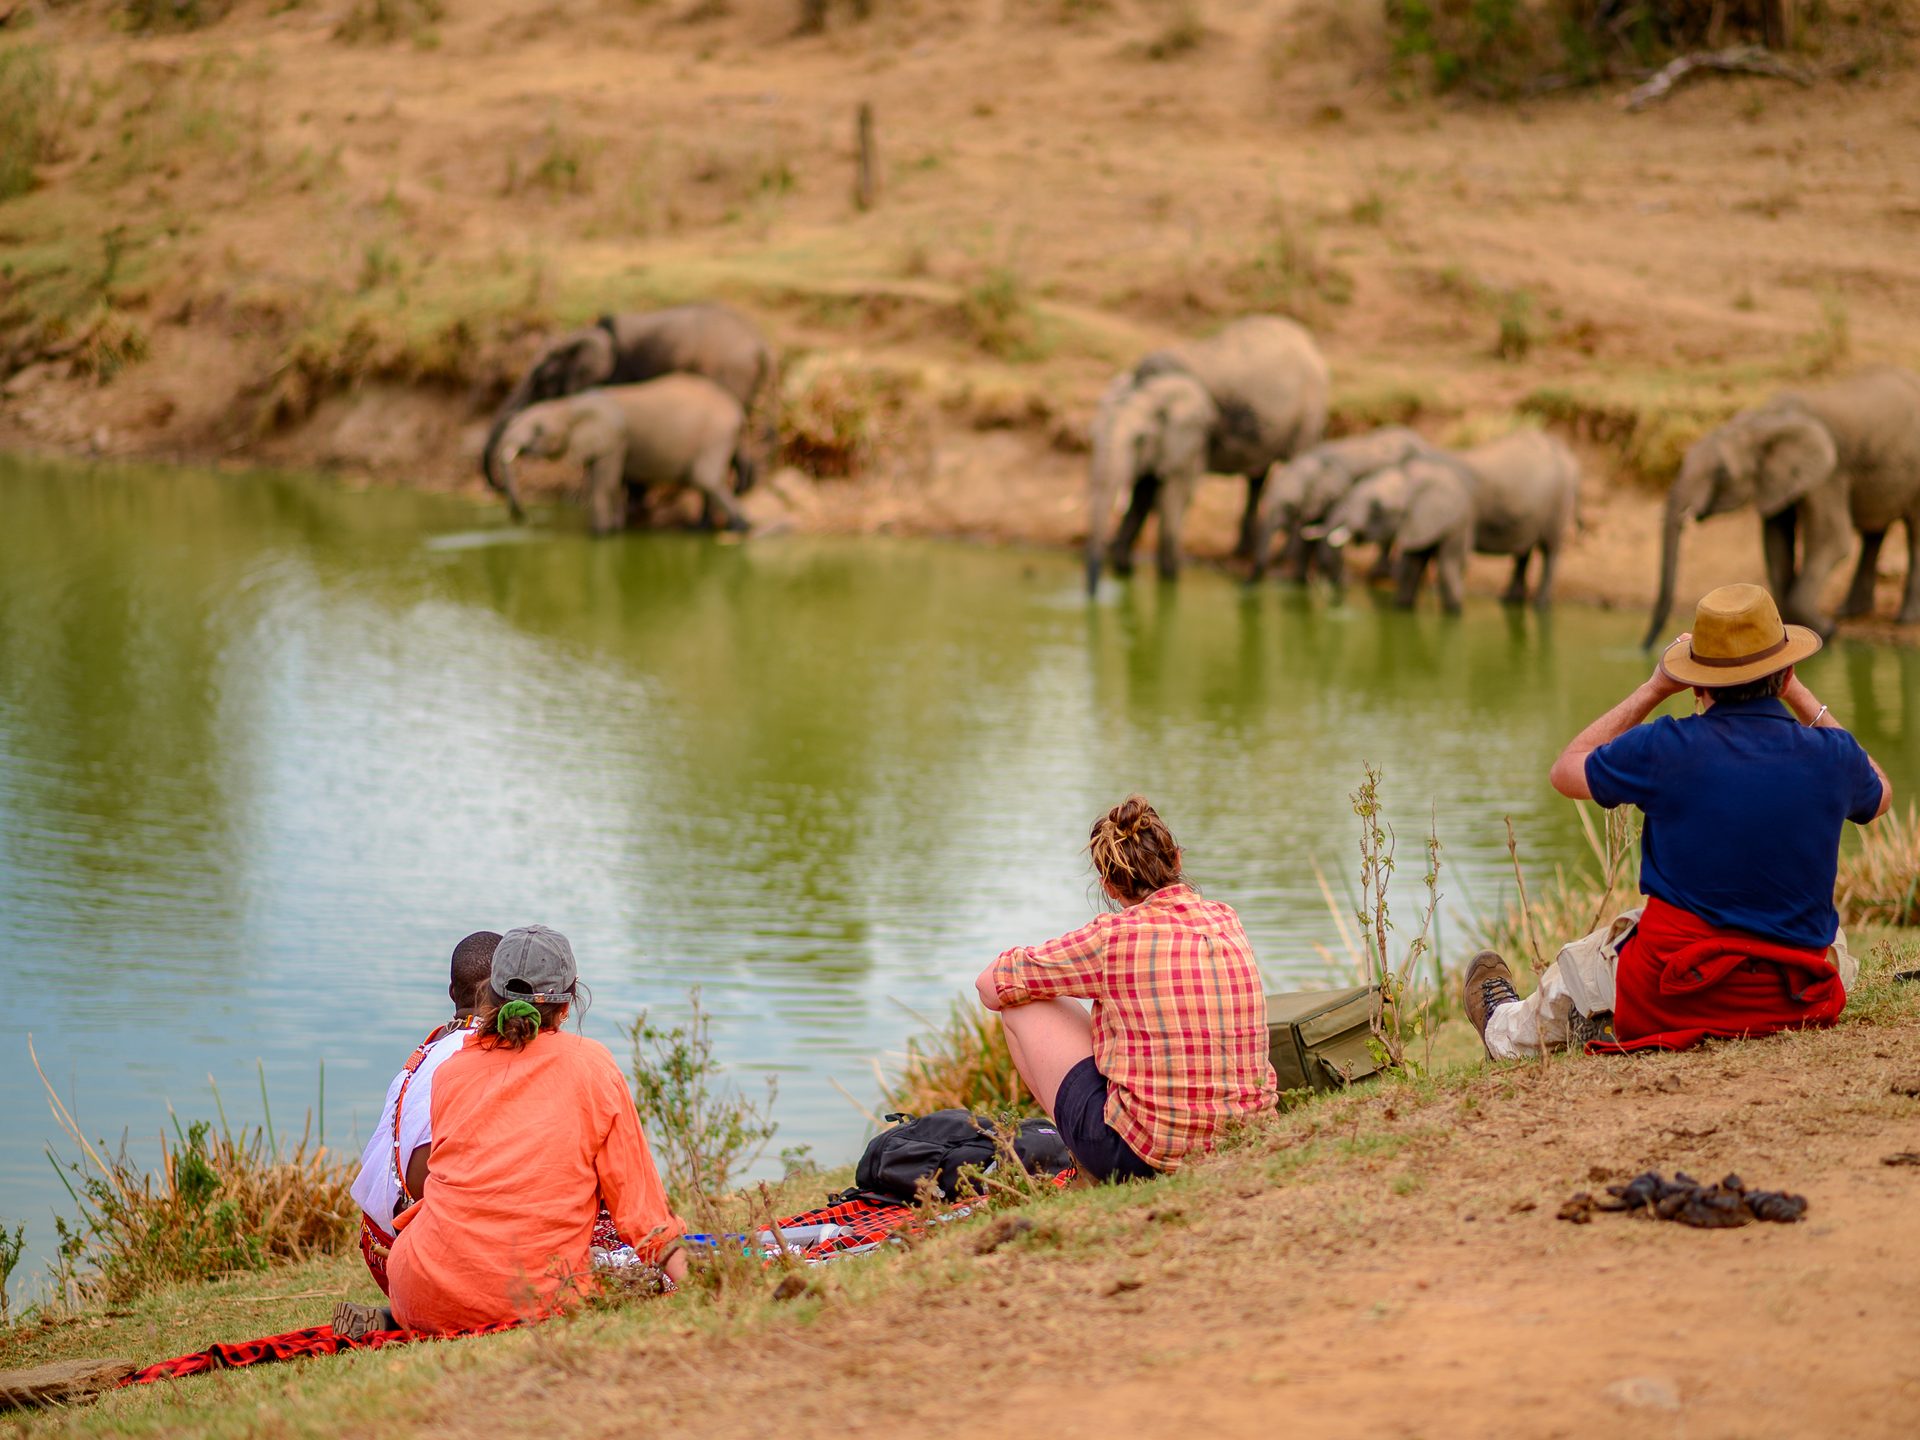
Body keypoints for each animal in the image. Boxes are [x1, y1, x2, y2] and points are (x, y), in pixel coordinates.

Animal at [481, 303, 774, 502]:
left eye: (542, 379)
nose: (497, 488)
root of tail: (762, 346)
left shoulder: (619, 377)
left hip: (730, 372)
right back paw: (742, 490)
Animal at [490, 375, 752, 537]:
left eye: (538, 430)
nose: (523, 518)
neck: (570, 403)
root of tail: (738, 410)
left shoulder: (615, 438)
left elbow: (604, 485)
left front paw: (599, 534)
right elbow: (612, 485)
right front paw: (614, 530)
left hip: (715, 434)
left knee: (706, 479)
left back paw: (738, 528)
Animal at [1087, 315, 1329, 591]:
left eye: (1139, 439)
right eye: (1091, 436)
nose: (1094, 592)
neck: (1151, 384)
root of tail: (1307, 340)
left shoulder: (1196, 433)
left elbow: (1174, 493)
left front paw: (1169, 577)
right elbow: (1144, 492)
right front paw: (1124, 567)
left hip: (1310, 410)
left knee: (1295, 465)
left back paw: (1283, 557)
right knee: (1257, 477)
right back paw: (1242, 551)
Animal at [1316, 430, 1581, 612]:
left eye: (1377, 507)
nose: (1340, 583)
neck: (1416, 471)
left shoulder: (1460, 514)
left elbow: (1449, 565)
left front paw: (1454, 612)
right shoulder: (1420, 520)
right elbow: (1412, 566)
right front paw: (1402, 608)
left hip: (1559, 501)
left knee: (1549, 551)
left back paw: (1540, 605)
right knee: (1522, 552)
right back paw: (1509, 600)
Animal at [1644, 365, 1920, 646]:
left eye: (1722, 473)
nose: (1646, 647)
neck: (1762, 422)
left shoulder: (1829, 473)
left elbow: (1830, 540)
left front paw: (1828, 631)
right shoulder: (1776, 479)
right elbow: (1775, 544)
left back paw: (1905, 619)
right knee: (1874, 531)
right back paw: (1851, 612)